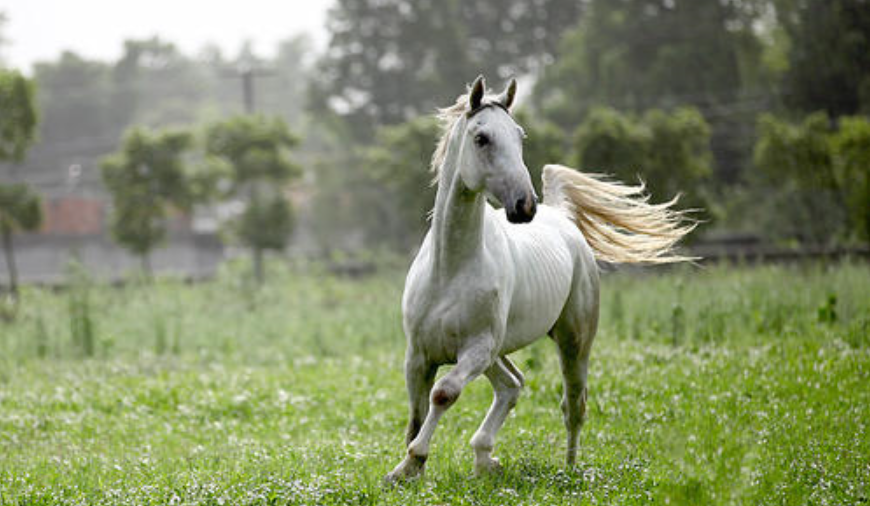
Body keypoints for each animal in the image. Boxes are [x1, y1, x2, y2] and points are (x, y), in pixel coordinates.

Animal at [385, 76, 695, 482]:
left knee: (573, 403)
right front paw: (407, 470)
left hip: (572, 341)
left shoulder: (477, 348)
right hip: (500, 352)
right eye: (481, 138)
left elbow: (443, 393)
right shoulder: (419, 355)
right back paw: (485, 458)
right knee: (513, 385)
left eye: (520, 136)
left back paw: (567, 468)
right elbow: (416, 414)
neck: (450, 269)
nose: (524, 205)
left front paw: (414, 459)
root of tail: (561, 216)